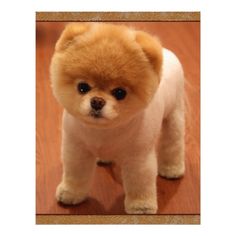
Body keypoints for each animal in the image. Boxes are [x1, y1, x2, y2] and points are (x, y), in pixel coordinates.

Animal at [50, 23, 186, 214]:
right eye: (82, 87)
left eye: (120, 93)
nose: (97, 101)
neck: (103, 132)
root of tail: (167, 52)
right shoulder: (77, 149)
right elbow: (75, 174)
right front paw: (71, 193)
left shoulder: (138, 159)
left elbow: (139, 183)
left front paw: (141, 206)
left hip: (174, 114)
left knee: (173, 142)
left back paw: (172, 169)